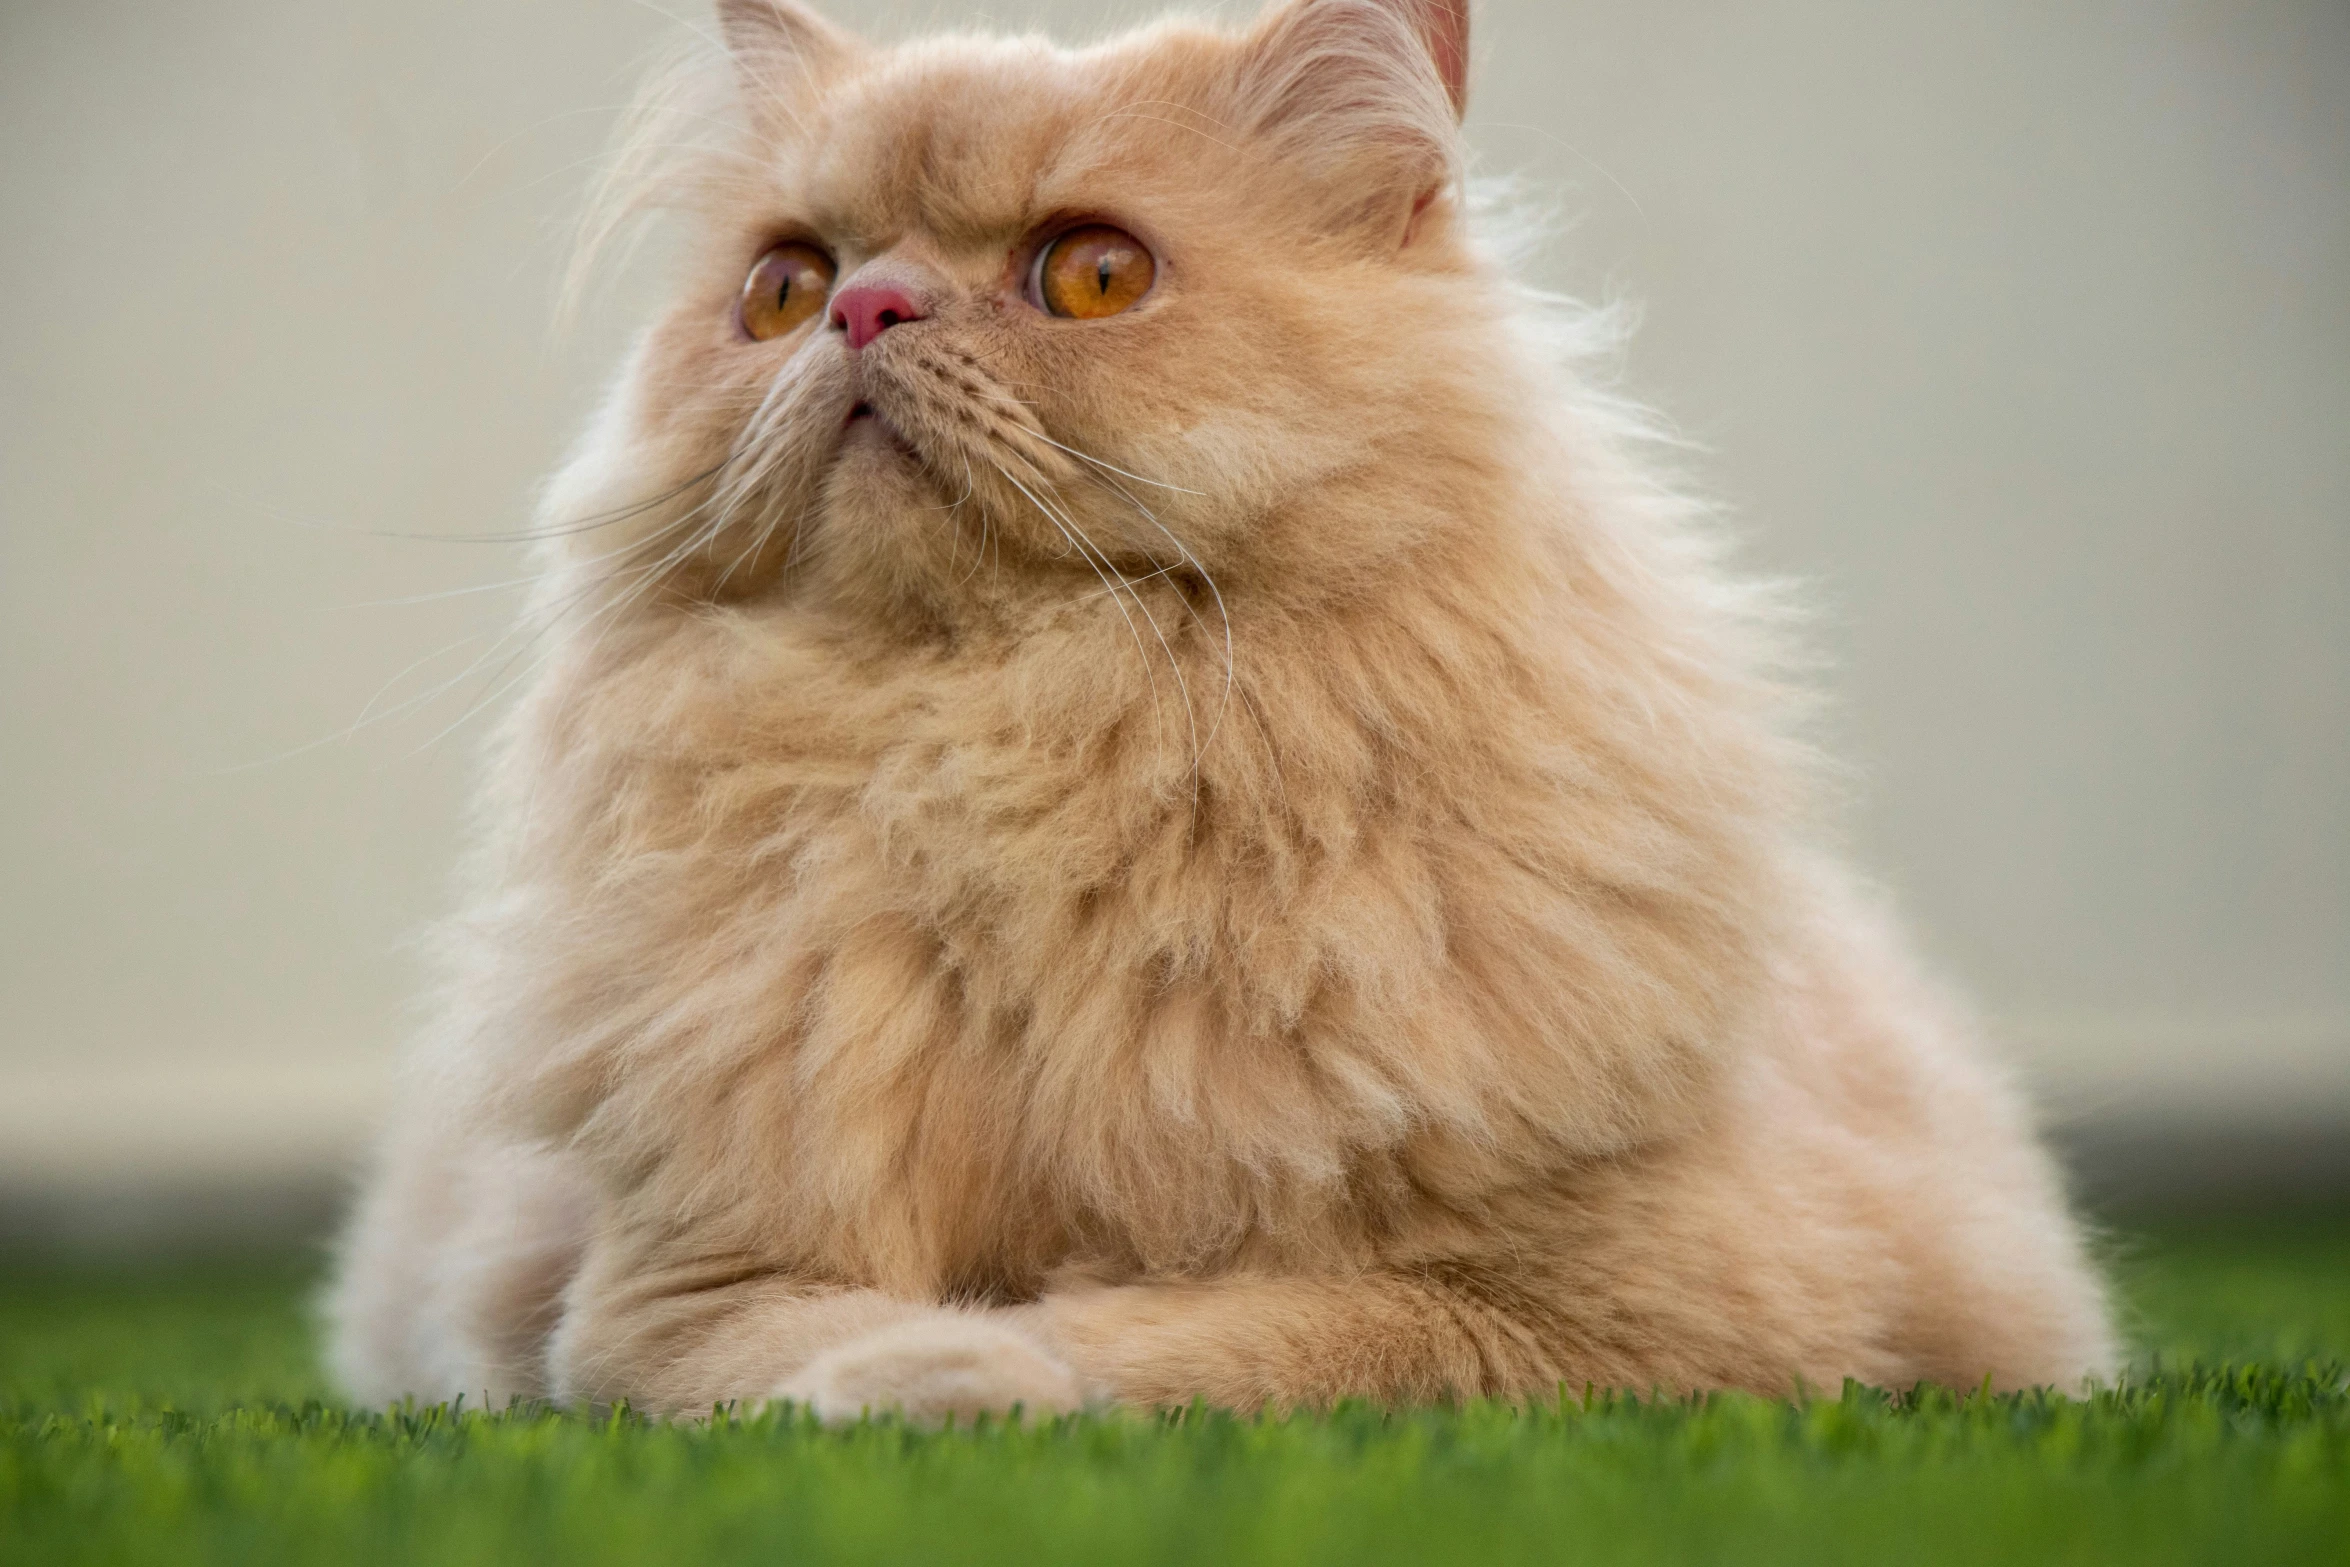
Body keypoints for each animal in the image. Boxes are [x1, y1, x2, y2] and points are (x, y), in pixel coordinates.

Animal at [326, 0, 2115, 1418]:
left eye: (1092, 273)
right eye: (780, 287)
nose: (864, 310)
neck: (1021, 754)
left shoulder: (1635, 1312)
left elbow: (1229, 1343)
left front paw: (1007, 1365)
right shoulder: (670, 1288)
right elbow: (788, 1350)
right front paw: (921, 1377)